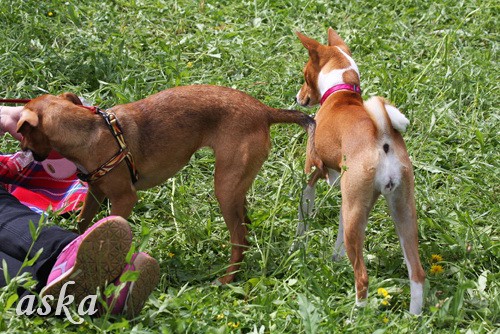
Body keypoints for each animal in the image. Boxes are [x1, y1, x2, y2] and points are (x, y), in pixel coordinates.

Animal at [18, 85, 312, 284]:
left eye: (23, 134)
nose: (23, 151)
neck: (88, 131)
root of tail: (264, 110)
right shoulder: (96, 192)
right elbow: (82, 223)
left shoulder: (124, 199)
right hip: (237, 186)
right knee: (246, 228)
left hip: (225, 188)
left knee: (239, 238)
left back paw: (228, 279)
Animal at [292, 28, 426, 314]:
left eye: (304, 75)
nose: (297, 97)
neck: (342, 94)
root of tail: (383, 137)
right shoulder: (345, 192)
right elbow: (339, 239)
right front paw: (335, 258)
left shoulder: (311, 175)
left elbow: (303, 221)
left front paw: (297, 248)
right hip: (400, 211)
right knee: (417, 272)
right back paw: (414, 317)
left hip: (357, 210)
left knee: (362, 276)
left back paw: (357, 315)